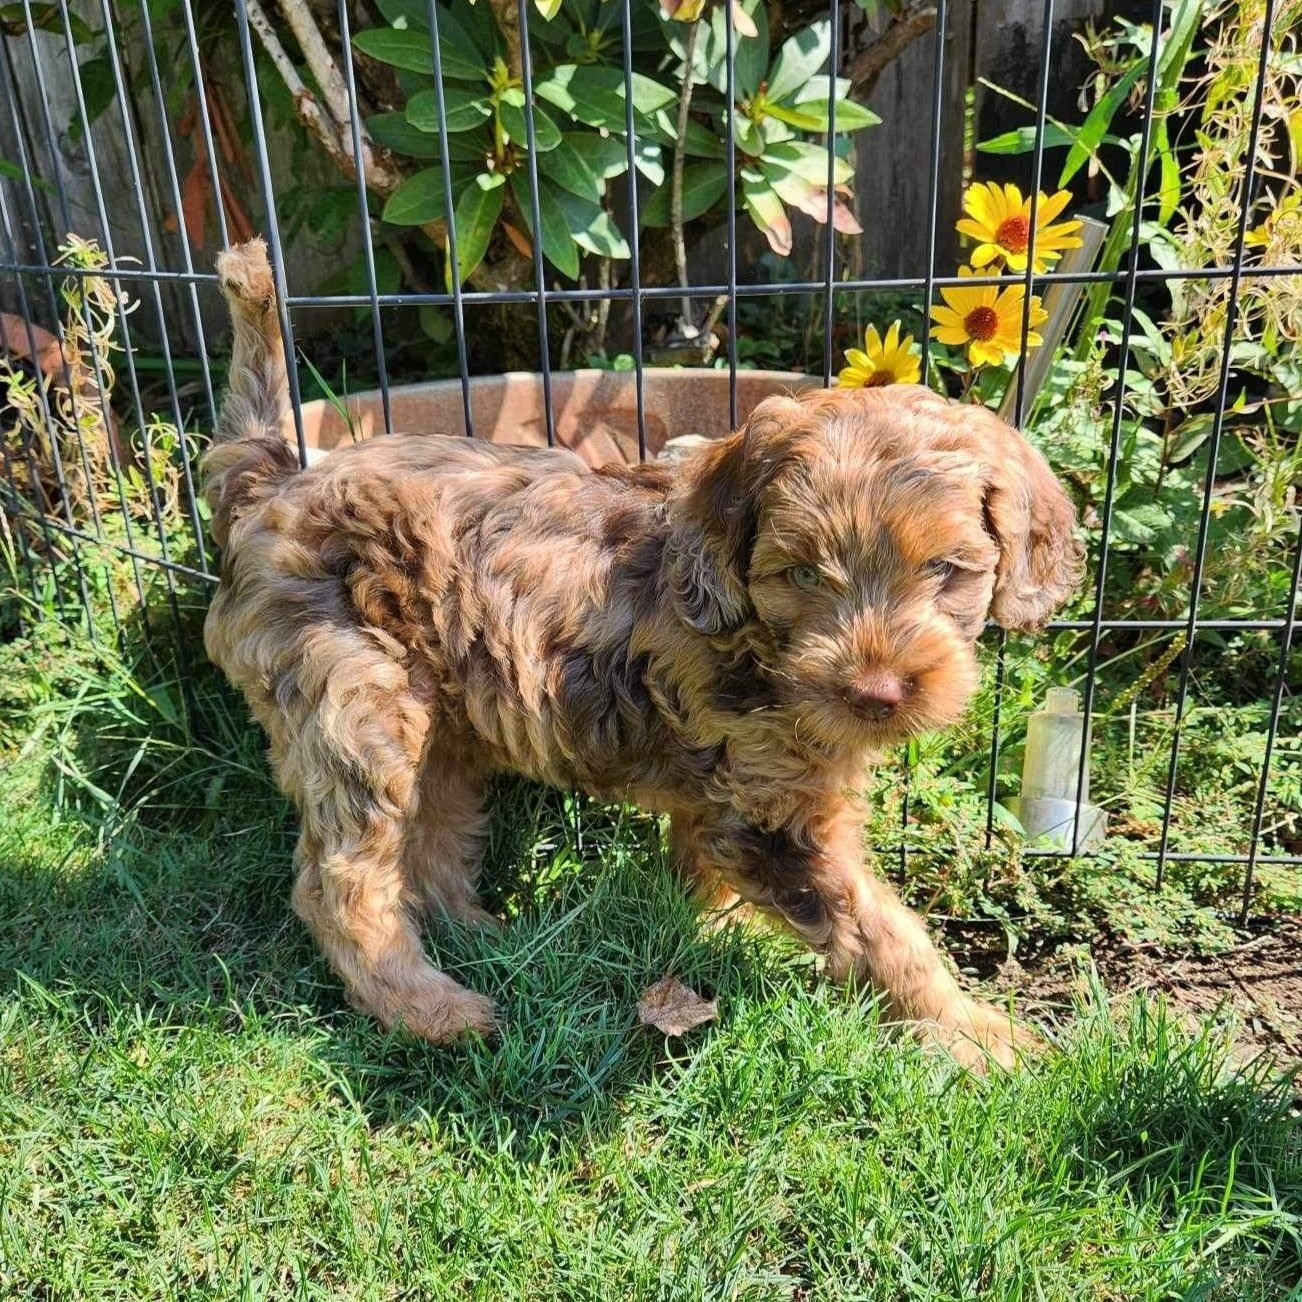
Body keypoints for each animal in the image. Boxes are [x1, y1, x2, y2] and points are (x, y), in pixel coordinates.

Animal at [200, 239, 1078, 1072]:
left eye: (948, 571)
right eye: (800, 575)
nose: (876, 694)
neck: (755, 641)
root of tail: (269, 484)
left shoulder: (725, 789)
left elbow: (706, 867)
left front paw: (721, 930)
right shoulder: (772, 817)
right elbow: (879, 931)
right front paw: (978, 1036)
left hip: (437, 715)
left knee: (434, 837)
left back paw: (486, 936)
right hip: (356, 700)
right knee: (341, 883)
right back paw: (431, 1009)